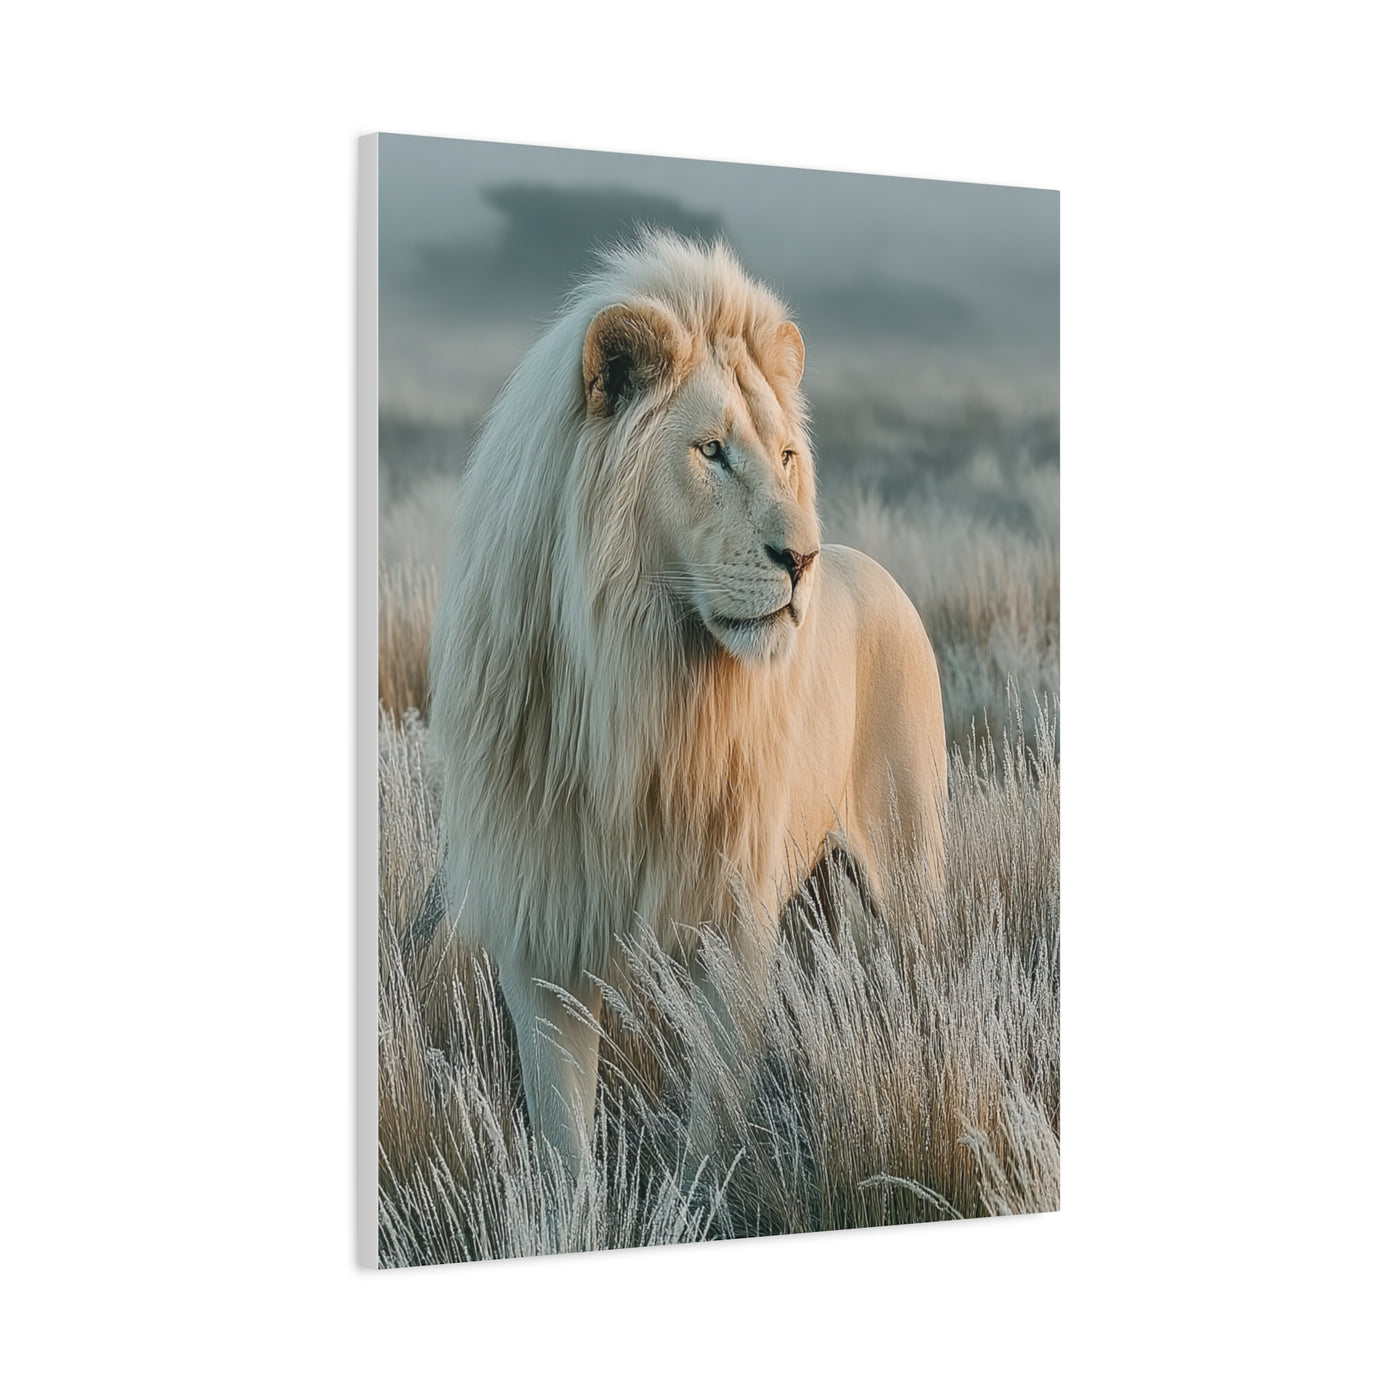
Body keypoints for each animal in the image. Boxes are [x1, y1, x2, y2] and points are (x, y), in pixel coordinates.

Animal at [428, 233, 946, 1176]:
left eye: (786, 456)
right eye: (711, 452)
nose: (803, 560)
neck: (637, 682)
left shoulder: (729, 921)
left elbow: (711, 1124)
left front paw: (698, 1195)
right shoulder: (542, 924)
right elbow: (565, 1148)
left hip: (911, 867)